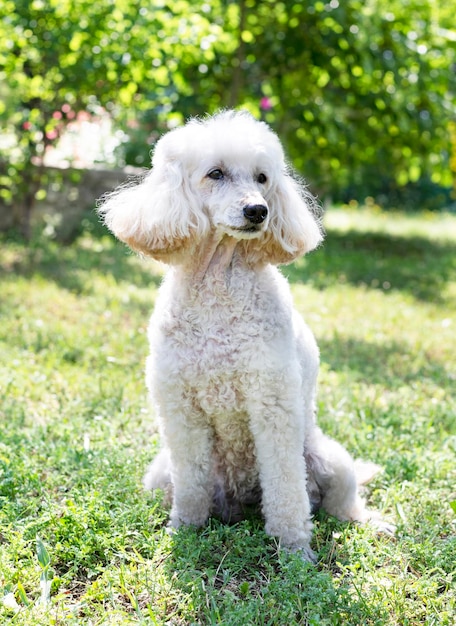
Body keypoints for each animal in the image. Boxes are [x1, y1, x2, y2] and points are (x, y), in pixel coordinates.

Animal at [98, 109, 390, 560]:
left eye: (263, 177)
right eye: (215, 173)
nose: (258, 210)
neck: (221, 286)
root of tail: (241, 500)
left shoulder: (272, 402)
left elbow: (286, 489)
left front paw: (294, 550)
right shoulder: (179, 407)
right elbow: (192, 483)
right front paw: (184, 531)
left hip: (331, 460)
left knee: (341, 504)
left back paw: (370, 522)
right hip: (160, 472)